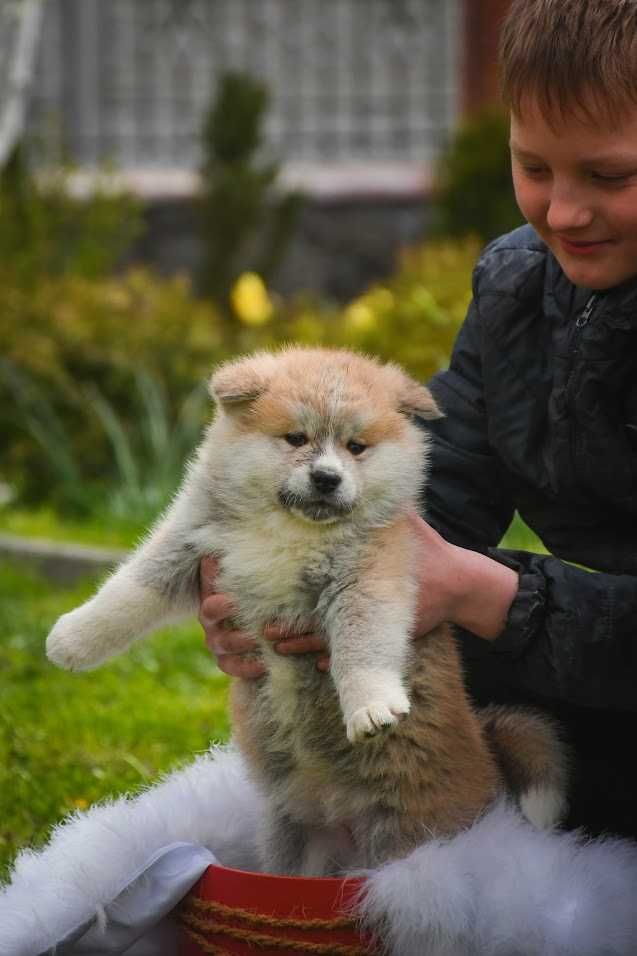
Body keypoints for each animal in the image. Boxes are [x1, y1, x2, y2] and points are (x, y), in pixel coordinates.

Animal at [48, 350, 568, 872]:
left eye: (356, 447)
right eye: (295, 438)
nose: (326, 478)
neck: (291, 531)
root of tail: (489, 772)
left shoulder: (368, 575)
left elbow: (361, 645)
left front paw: (371, 706)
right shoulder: (190, 544)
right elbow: (130, 588)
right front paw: (71, 638)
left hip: (404, 836)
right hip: (295, 839)